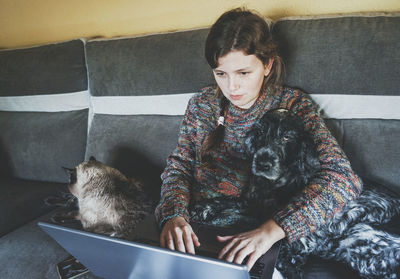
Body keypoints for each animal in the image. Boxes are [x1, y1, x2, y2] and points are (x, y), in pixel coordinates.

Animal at [190, 109, 400, 279]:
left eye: (287, 138)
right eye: (260, 133)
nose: (263, 163)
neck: (275, 184)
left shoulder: (296, 248)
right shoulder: (251, 202)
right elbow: (229, 201)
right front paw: (202, 208)